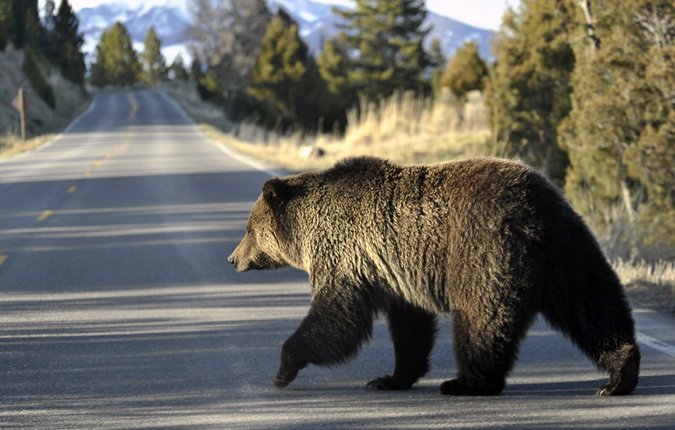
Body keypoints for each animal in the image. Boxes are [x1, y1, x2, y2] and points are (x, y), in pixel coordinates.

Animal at [227, 156, 640, 394]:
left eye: (249, 228)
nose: (233, 258)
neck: (307, 229)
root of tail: (532, 213)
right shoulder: (393, 272)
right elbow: (410, 327)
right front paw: (390, 378)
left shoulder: (346, 254)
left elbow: (338, 315)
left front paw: (284, 368)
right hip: (568, 249)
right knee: (593, 307)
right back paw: (620, 374)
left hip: (482, 250)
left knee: (482, 319)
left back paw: (467, 382)